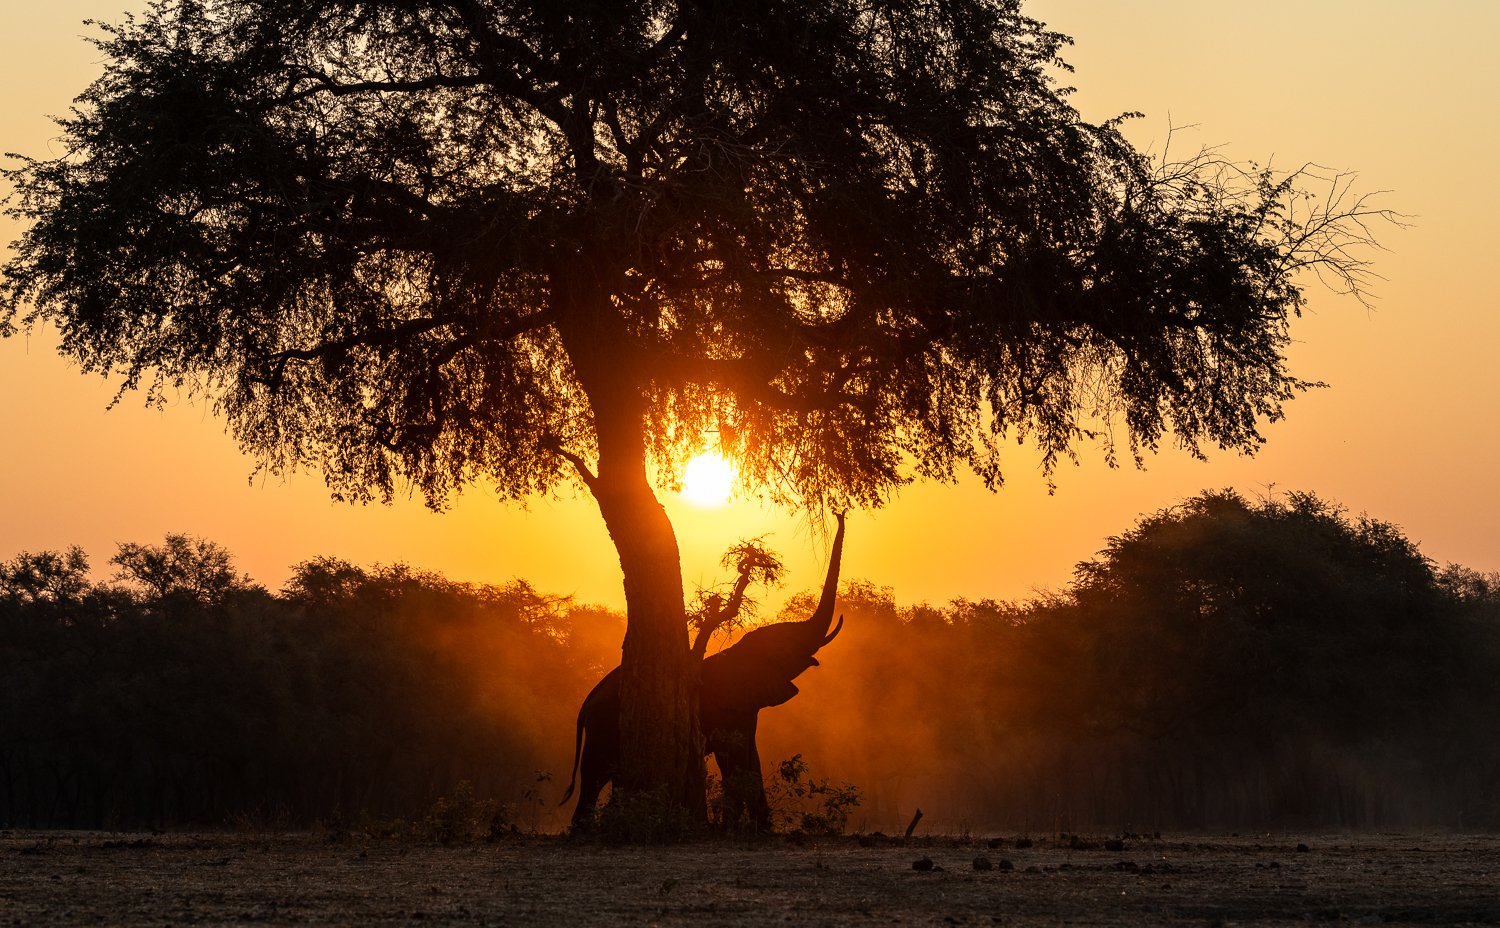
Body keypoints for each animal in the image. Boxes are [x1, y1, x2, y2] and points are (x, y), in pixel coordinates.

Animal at [561, 514, 846, 830]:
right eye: (787, 645)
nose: (840, 514)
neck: (739, 652)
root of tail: (586, 703)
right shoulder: (730, 707)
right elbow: (734, 760)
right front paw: (732, 829)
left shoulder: (747, 708)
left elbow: (751, 759)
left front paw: (759, 829)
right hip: (602, 726)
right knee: (595, 776)